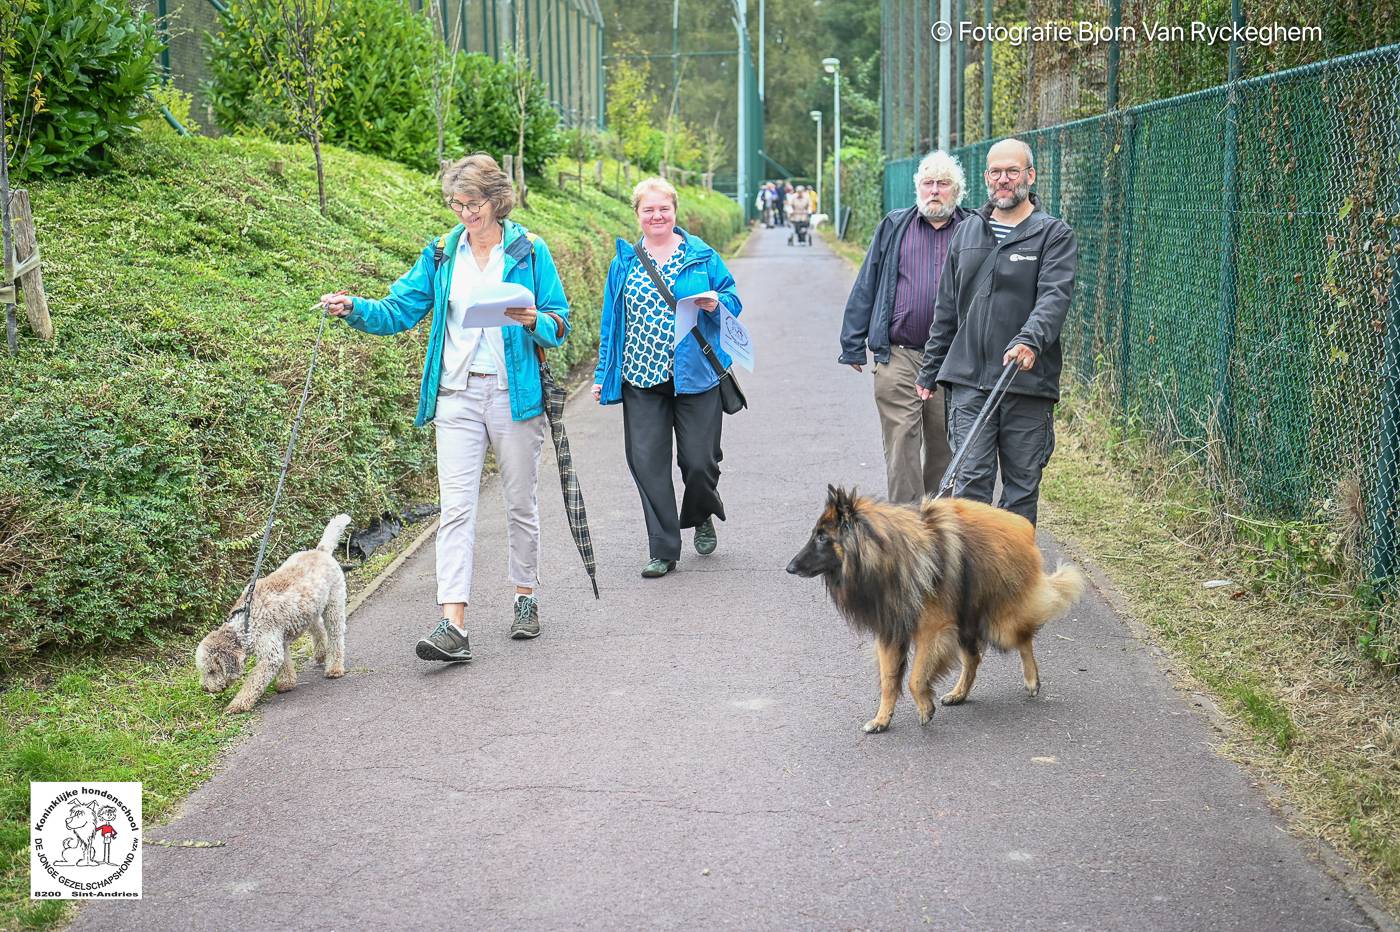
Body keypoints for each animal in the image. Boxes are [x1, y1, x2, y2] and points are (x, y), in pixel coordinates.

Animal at [196, 512, 350, 713]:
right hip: (310, 611)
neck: (245, 623)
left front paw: (238, 704)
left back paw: (334, 668)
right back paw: (321, 654)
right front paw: (286, 683)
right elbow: (285, 663)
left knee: (335, 636)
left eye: (212, 670)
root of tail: (320, 551)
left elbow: (253, 682)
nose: (205, 688)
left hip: (333, 605)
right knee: (318, 629)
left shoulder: (269, 652)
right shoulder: (279, 642)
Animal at [789, 486, 1080, 733]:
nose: (789, 568)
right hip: (965, 620)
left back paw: (1032, 681)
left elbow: (915, 678)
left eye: (822, 537)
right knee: (974, 658)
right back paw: (959, 694)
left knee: (1024, 639)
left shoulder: (933, 631)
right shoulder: (891, 633)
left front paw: (925, 708)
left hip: (999, 622)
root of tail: (1023, 525)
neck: (889, 556)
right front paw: (882, 719)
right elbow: (888, 681)